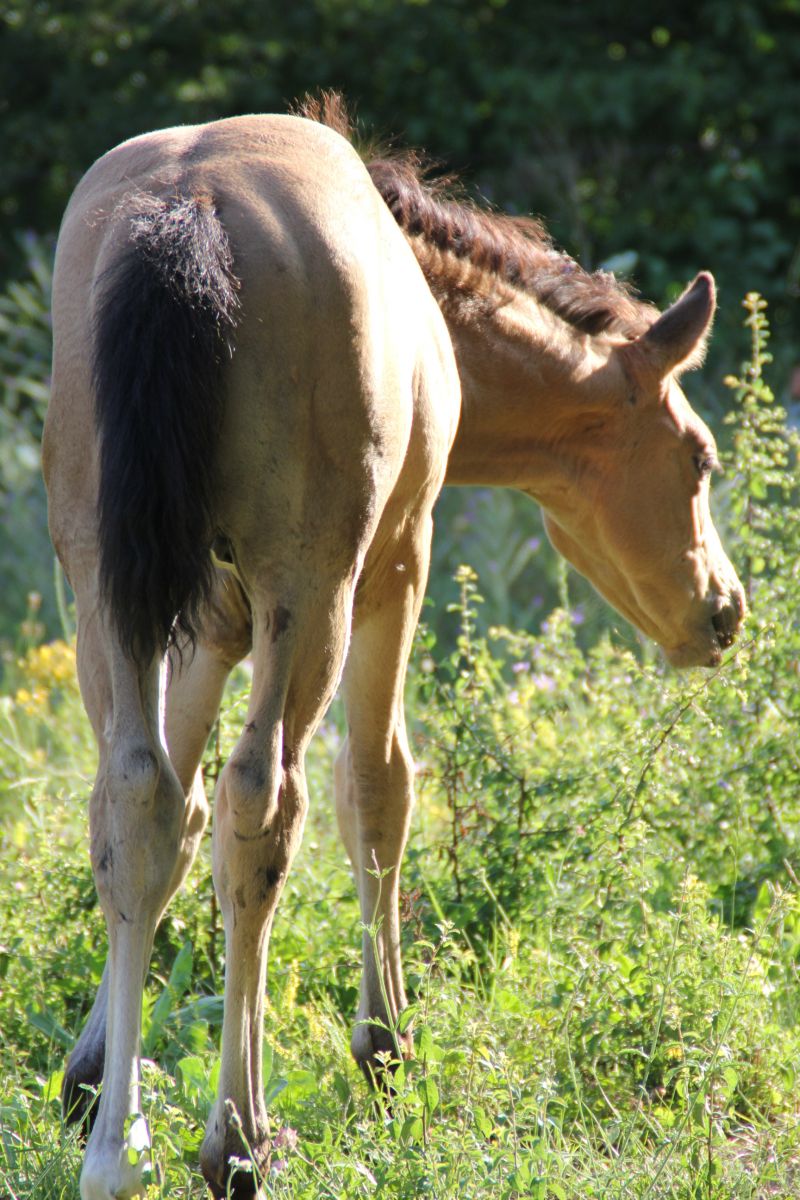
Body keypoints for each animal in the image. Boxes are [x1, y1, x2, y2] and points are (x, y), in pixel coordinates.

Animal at [42, 96, 743, 1200]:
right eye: (700, 458)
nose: (724, 611)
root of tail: (188, 209)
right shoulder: (397, 563)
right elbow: (375, 788)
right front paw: (385, 1048)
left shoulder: (207, 620)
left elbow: (173, 811)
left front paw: (95, 1075)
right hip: (313, 586)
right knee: (266, 804)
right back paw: (238, 1138)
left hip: (106, 583)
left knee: (139, 796)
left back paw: (122, 1151)